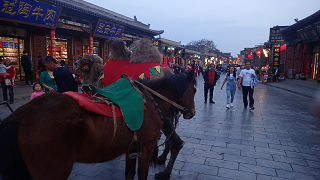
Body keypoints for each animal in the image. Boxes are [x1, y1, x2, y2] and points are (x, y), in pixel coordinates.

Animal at [0, 71, 195, 179]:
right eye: (194, 90)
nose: (191, 112)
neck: (151, 99)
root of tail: (20, 116)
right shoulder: (146, 146)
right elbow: (142, 174)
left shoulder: (132, 147)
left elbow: (129, 174)